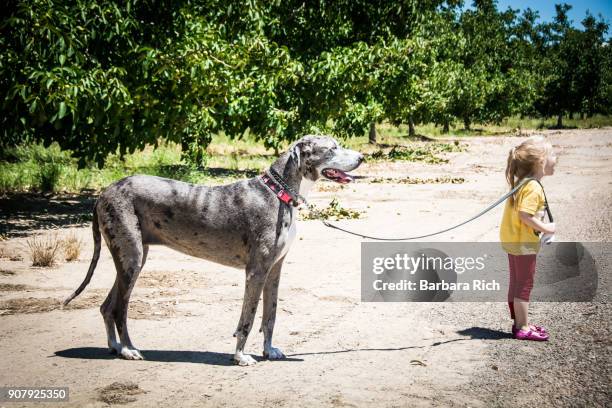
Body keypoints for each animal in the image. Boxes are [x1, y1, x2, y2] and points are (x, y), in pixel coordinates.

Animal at [64, 135, 364, 366]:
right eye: (332, 148)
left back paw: (115, 346)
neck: (278, 193)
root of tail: (103, 193)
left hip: (130, 258)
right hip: (132, 257)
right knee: (120, 310)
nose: (361, 158)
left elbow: (270, 314)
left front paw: (269, 350)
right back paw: (128, 349)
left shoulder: (275, 269)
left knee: (107, 306)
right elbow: (248, 317)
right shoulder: (256, 271)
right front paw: (241, 356)